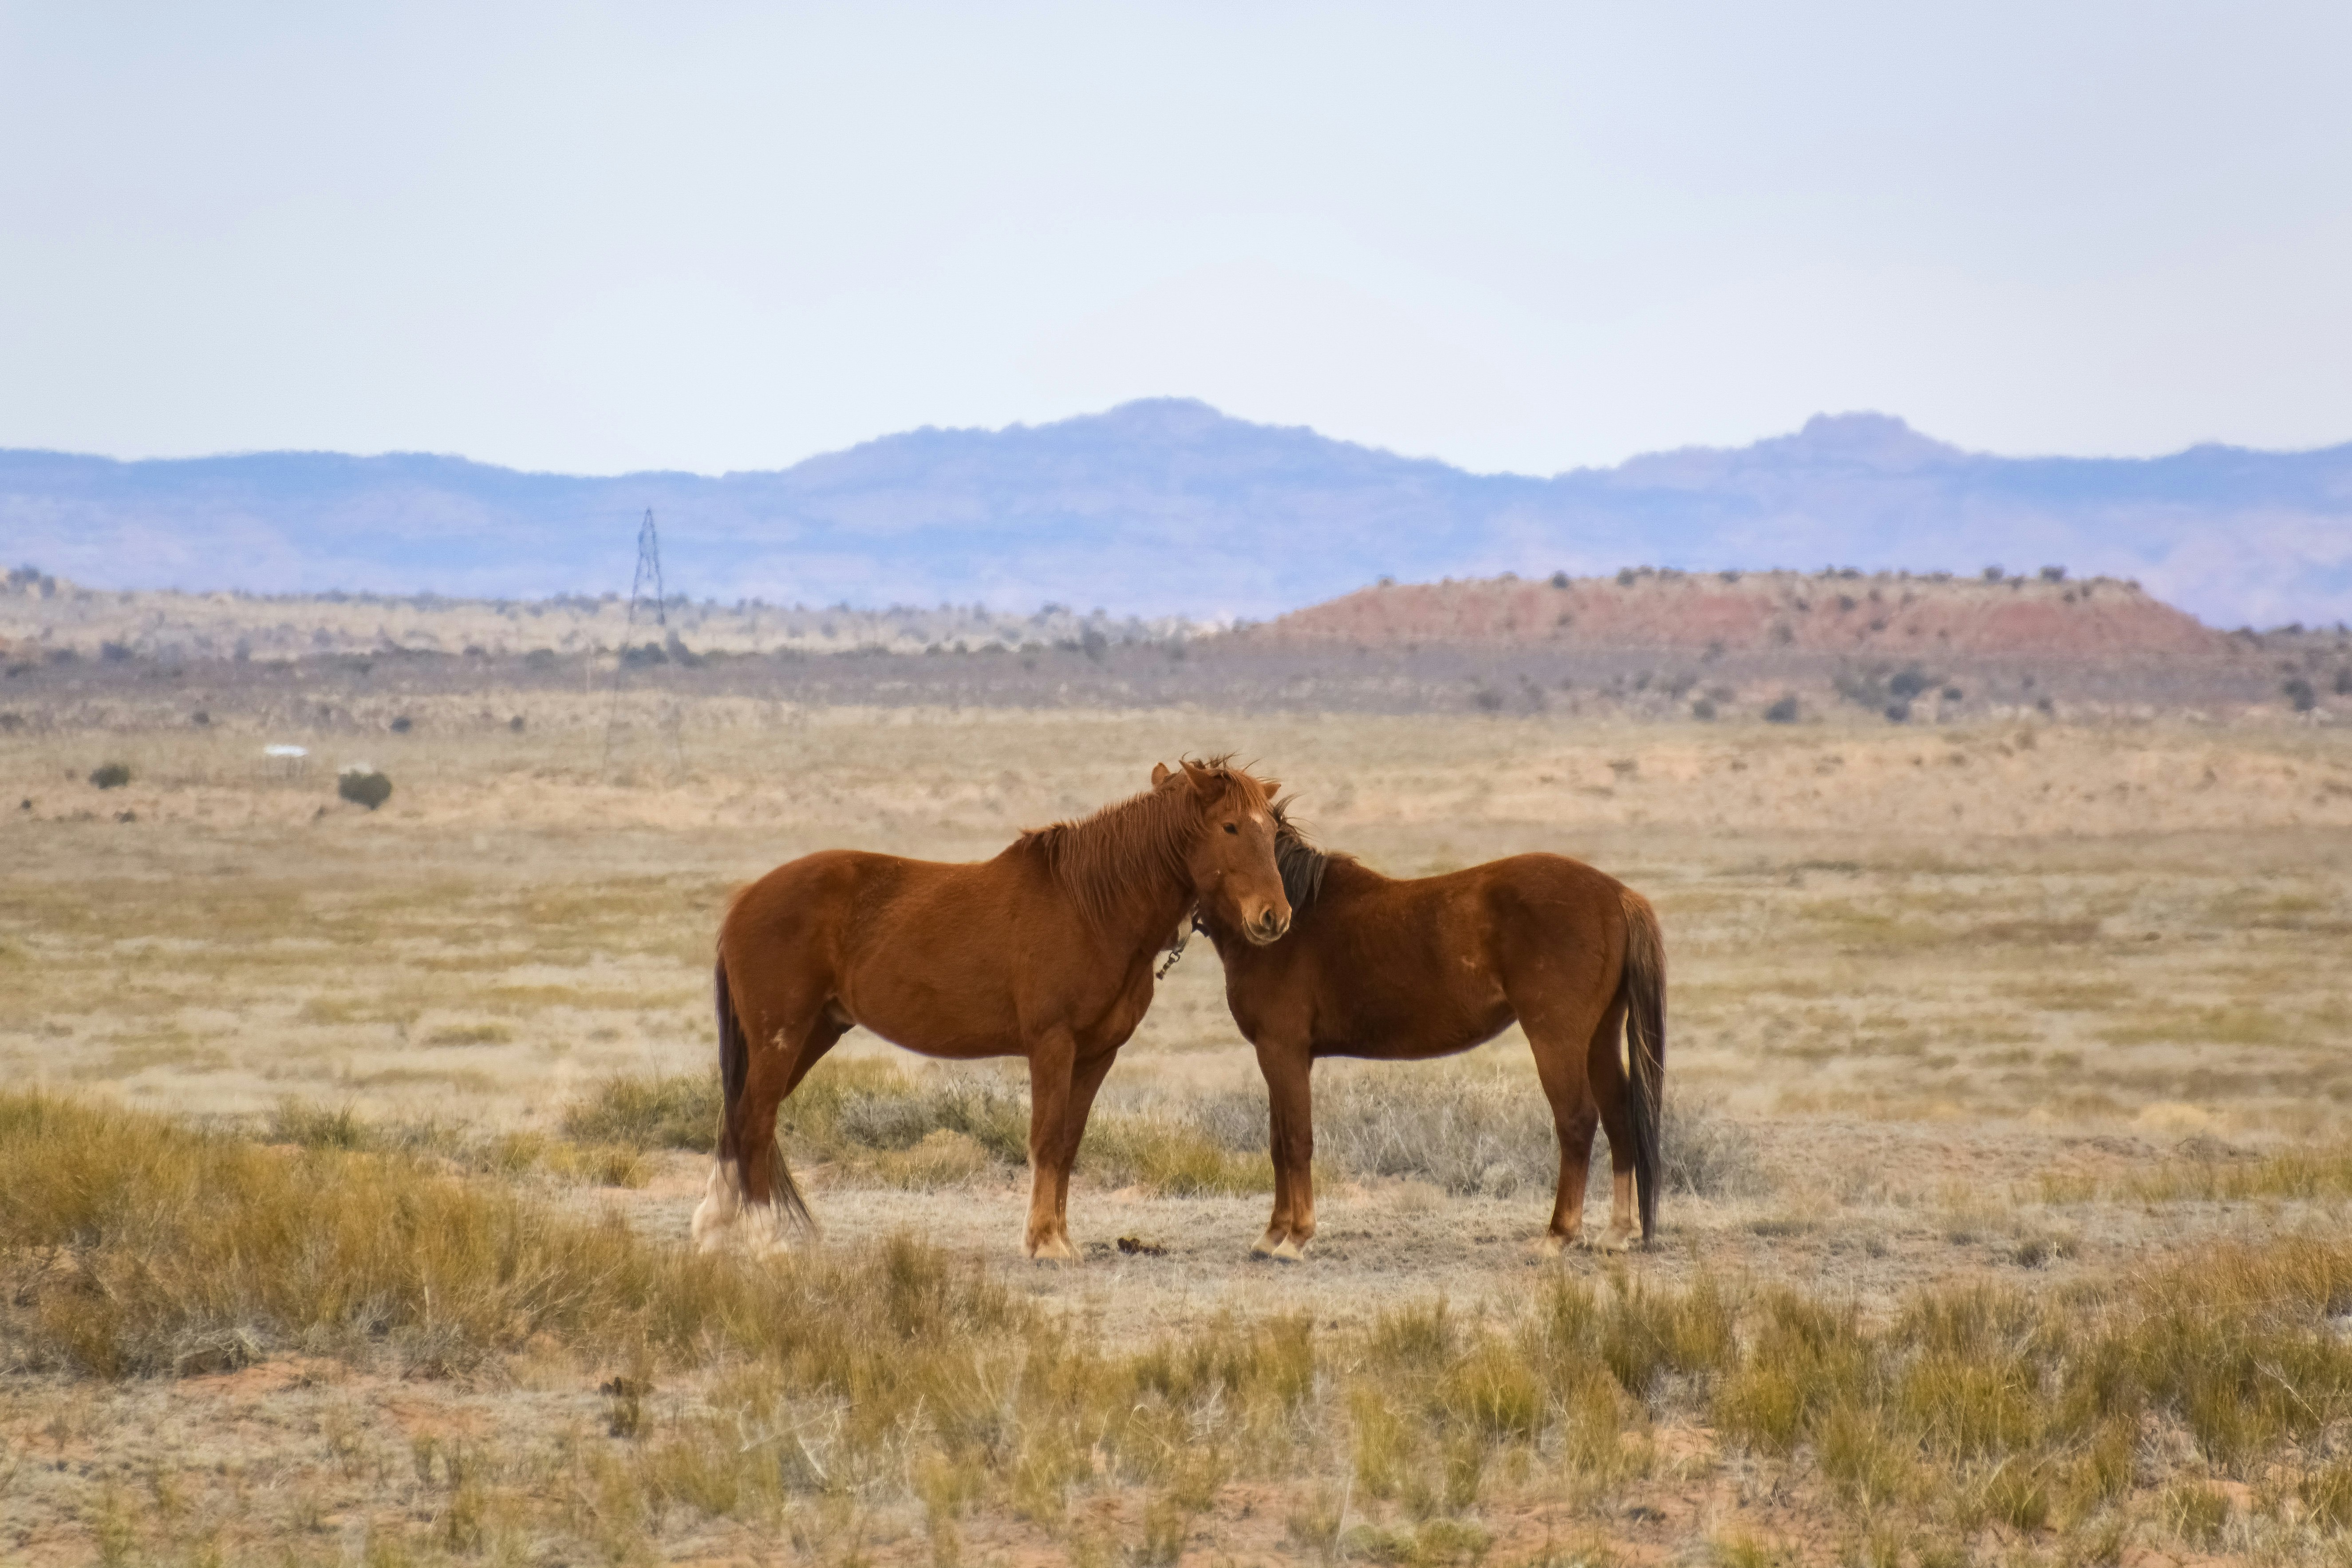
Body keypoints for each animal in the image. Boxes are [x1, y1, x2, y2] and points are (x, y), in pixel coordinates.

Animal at [687, 762, 1298, 1260]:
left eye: (1272, 832)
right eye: (1230, 827)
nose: (1274, 916)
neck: (1092, 907)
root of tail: (745, 901)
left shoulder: (1096, 1053)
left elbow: (1068, 1143)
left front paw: (1060, 1237)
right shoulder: (1052, 1043)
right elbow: (1046, 1138)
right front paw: (1044, 1243)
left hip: (813, 1034)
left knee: (738, 1118)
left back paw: (715, 1229)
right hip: (781, 1037)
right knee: (755, 1120)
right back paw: (764, 1240)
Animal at [1195, 809, 1674, 1260]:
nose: (1269, 919)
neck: (1294, 913)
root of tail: (1617, 894)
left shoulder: (1283, 1051)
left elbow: (1294, 1141)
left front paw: (1294, 1239)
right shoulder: (1283, 1055)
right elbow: (1278, 1142)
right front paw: (1271, 1235)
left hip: (1556, 1040)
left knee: (1577, 1120)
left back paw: (1557, 1236)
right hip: (1599, 1039)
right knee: (1619, 1114)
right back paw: (1615, 1233)